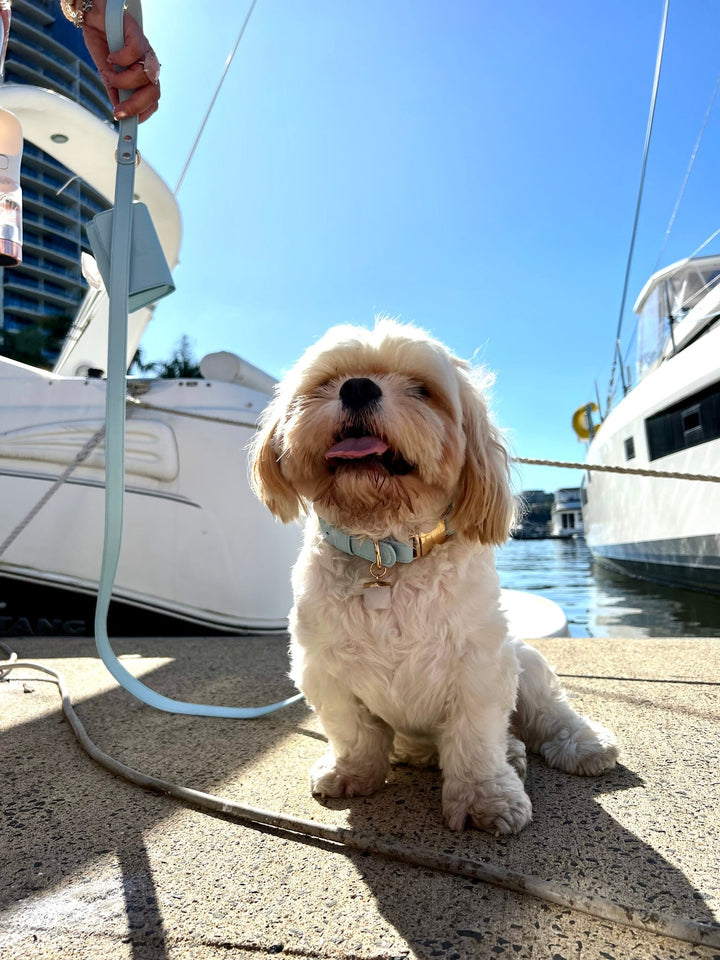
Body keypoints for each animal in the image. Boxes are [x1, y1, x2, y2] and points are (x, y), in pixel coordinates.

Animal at [250, 318, 616, 828]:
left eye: (422, 390)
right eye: (325, 380)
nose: (357, 386)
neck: (386, 547)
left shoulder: (479, 665)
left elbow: (475, 736)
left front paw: (486, 798)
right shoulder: (324, 667)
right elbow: (352, 730)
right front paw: (352, 773)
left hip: (525, 662)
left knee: (549, 712)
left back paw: (582, 744)